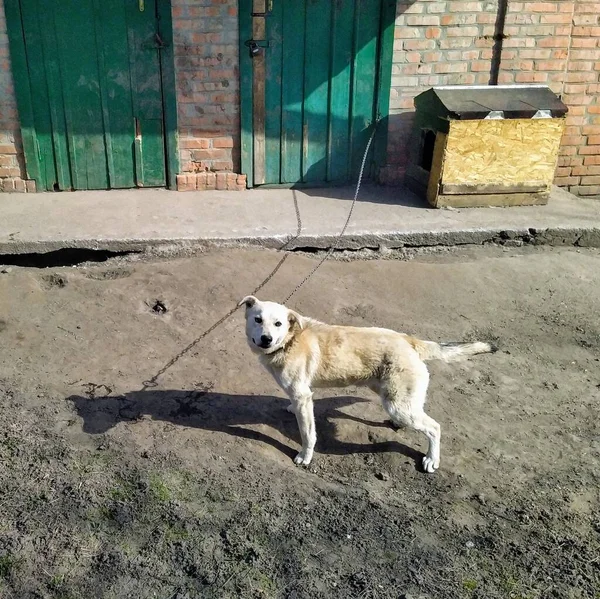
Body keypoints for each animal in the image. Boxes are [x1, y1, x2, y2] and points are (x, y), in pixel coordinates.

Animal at [240, 296, 496, 474]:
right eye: (258, 320)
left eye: (278, 323)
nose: (266, 339)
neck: (289, 341)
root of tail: (409, 340)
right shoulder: (303, 394)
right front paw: (291, 409)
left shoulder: (303, 396)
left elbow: (308, 434)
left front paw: (305, 456)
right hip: (388, 394)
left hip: (398, 405)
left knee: (434, 427)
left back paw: (432, 459)